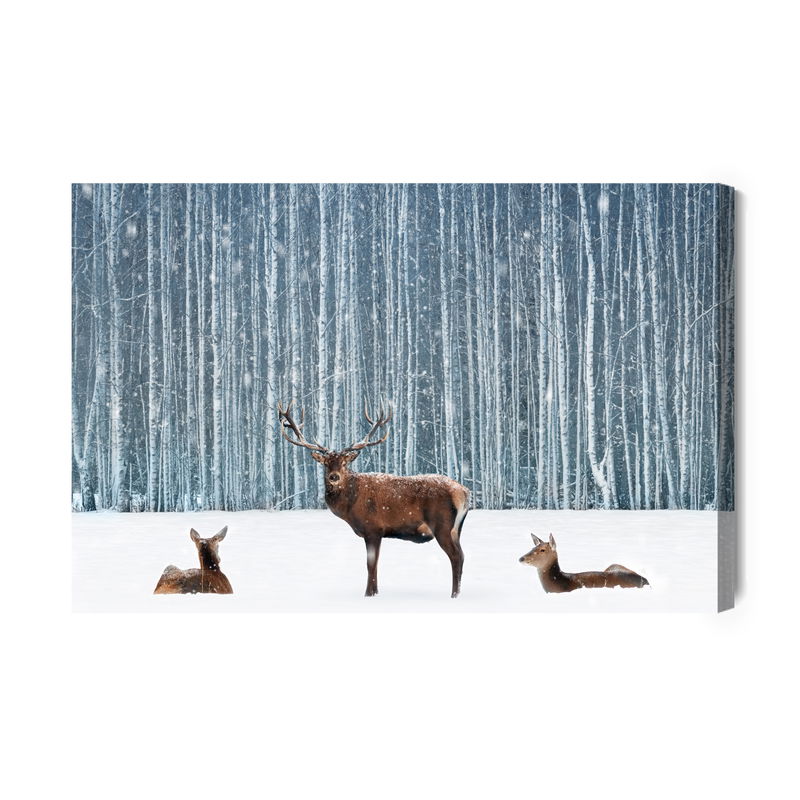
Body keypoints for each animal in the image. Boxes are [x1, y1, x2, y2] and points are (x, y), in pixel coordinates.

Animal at [278, 401, 469, 598]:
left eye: (344, 463)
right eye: (326, 463)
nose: (334, 476)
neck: (350, 507)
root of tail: (462, 491)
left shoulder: (373, 528)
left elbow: (370, 564)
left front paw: (368, 594)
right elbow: (375, 564)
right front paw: (375, 593)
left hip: (442, 526)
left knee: (456, 557)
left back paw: (454, 595)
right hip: (457, 529)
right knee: (462, 556)